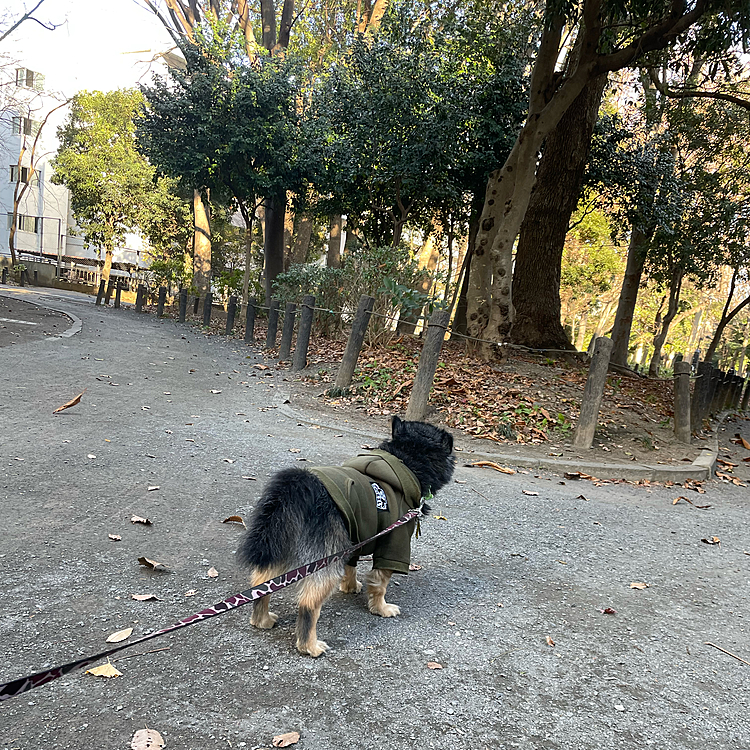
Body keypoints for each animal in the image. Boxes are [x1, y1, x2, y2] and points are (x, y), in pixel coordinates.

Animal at [238, 418, 456, 656]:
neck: (405, 460)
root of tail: (299, 487)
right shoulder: (393, 544)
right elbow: (380, 584)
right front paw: (381, 608)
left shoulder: (355, 537)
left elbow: (351, 566)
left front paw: (350, 587)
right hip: (323, 556)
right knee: (308, 603)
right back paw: (309, 646)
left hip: (281, 543)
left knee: (261, 584)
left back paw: (262, 620)